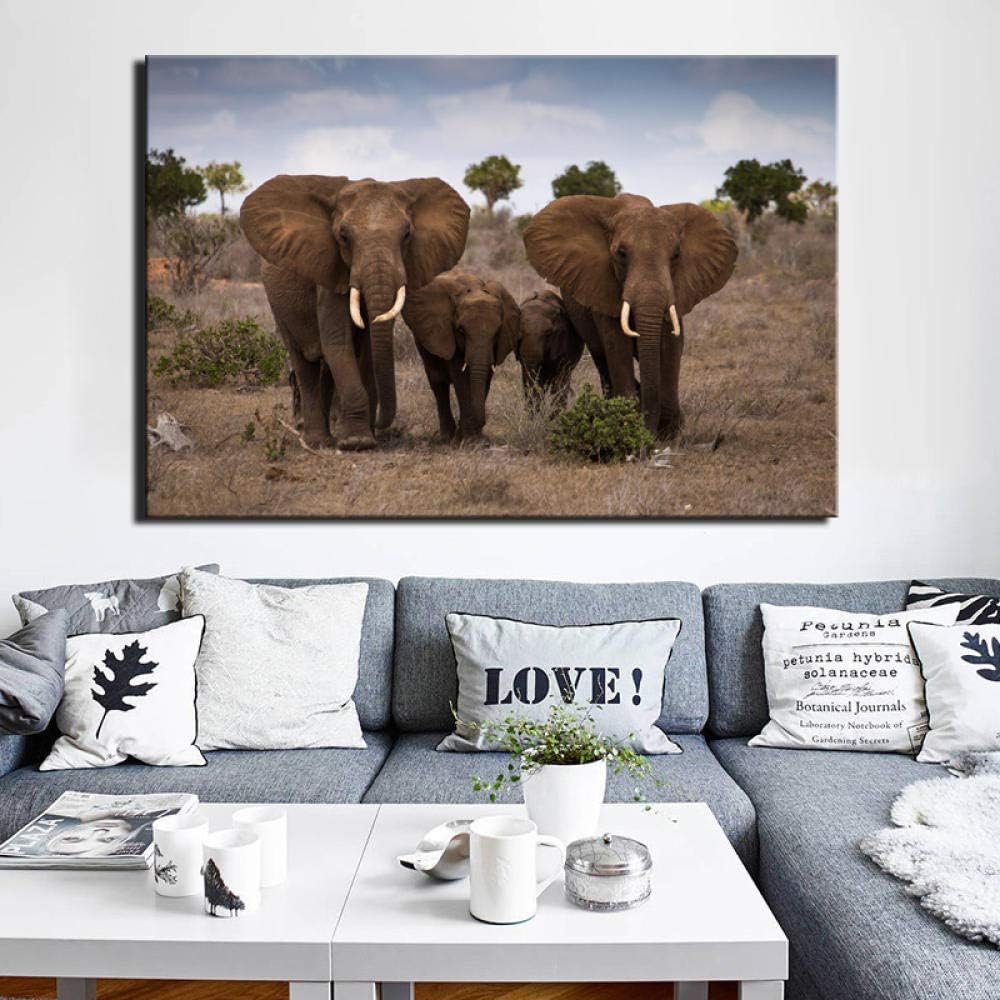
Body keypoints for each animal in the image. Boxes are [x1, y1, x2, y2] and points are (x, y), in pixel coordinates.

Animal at [240, 174, 470, 450]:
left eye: (407, 235)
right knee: (304, 361)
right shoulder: (329, 271)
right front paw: (357, 442)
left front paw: (365, 437)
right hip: (278, 305)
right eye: (343, 236)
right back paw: (317, 441)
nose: (379, 423)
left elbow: (369, 348)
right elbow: (337, 342)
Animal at [402, 270, 519, 441]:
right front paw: (468, 437)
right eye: (461, 331)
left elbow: (485, 376)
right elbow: (461, 378)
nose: (481, 424)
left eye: (497, 332)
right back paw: (446, 437)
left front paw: (474, 436)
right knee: (437, 381)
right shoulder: (447, 331)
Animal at [523, 193, 737, 438]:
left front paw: (669, 432)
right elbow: (617, 345)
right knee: (602, 358)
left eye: (676, 255)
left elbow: (671, 346)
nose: (651, 431)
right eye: (621, 254)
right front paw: (629, 422)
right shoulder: (602, 287)